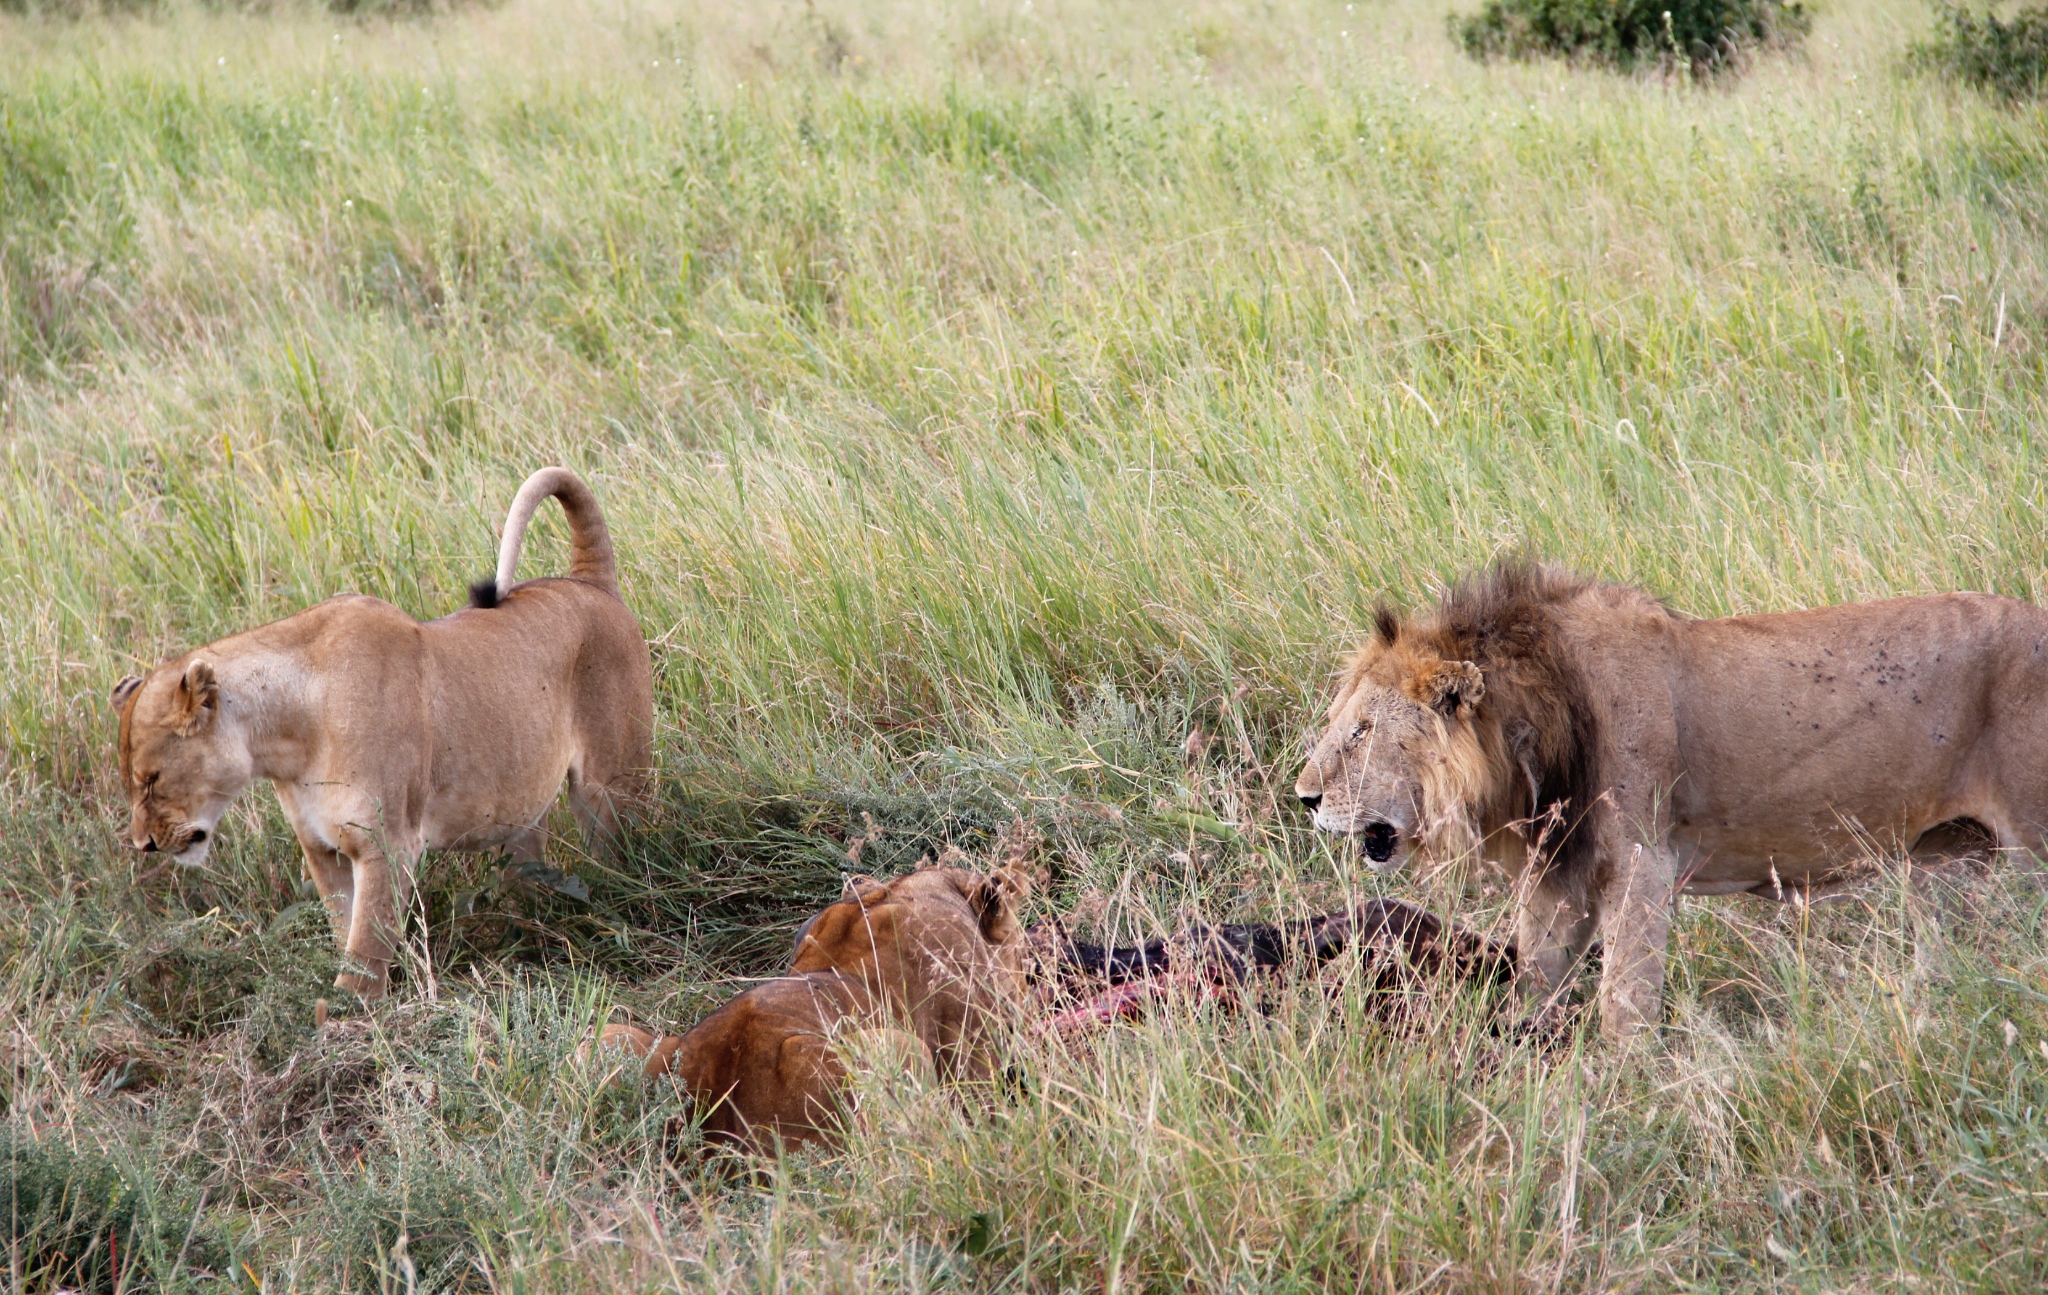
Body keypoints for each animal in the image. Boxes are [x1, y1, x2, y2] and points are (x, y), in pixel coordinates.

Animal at [114, 467, 655, 999]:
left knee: (619, 859)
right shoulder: (322, 848)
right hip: (521, 813)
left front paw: (345, 1018)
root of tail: (590, 582)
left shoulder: (388, 846)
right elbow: (343, 930)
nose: (143, 845)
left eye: (151, 780)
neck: (285, 740)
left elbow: (363, 960)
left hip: (611, 791)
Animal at [1294, 565, 2048, 1040]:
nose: (1304, 797)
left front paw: (1624, 1084)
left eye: (1361, 730)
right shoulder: (1558, 875)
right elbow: (1537, 972)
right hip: (1960, 858)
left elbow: (1624, 994)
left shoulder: (1643, 861)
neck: (1532, 727)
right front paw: (1525, 1050)